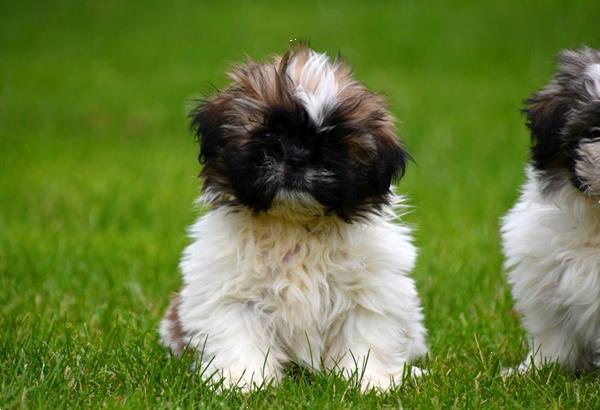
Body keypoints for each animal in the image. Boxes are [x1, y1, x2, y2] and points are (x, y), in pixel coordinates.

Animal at [159, 46, 426, 390]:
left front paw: (370, 382)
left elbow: (366, 335)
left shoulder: (372, 288)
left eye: (332, 143)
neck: (294, 226)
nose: (297, 158)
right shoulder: (227, 289)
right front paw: (242, 382)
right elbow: (238, 334)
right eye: (269, 133)